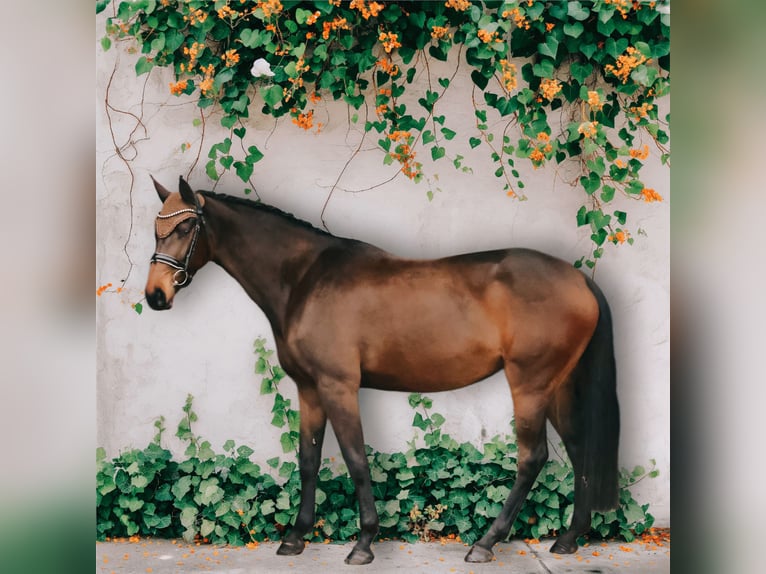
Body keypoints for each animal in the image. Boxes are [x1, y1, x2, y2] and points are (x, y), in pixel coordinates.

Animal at [144, 176, 619, 566]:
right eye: (156, 228)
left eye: (185, 228)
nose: (155, 295)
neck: (305, 279)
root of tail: (579, 278)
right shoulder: (309, 389)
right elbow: (308, 460)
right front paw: (296, 538)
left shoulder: (338, 386)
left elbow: (355, 459)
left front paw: (364, 543)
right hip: (557, 385)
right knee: (579, 447)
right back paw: (568, 540)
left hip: (530, 384)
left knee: (532, 457)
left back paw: (485, 543)